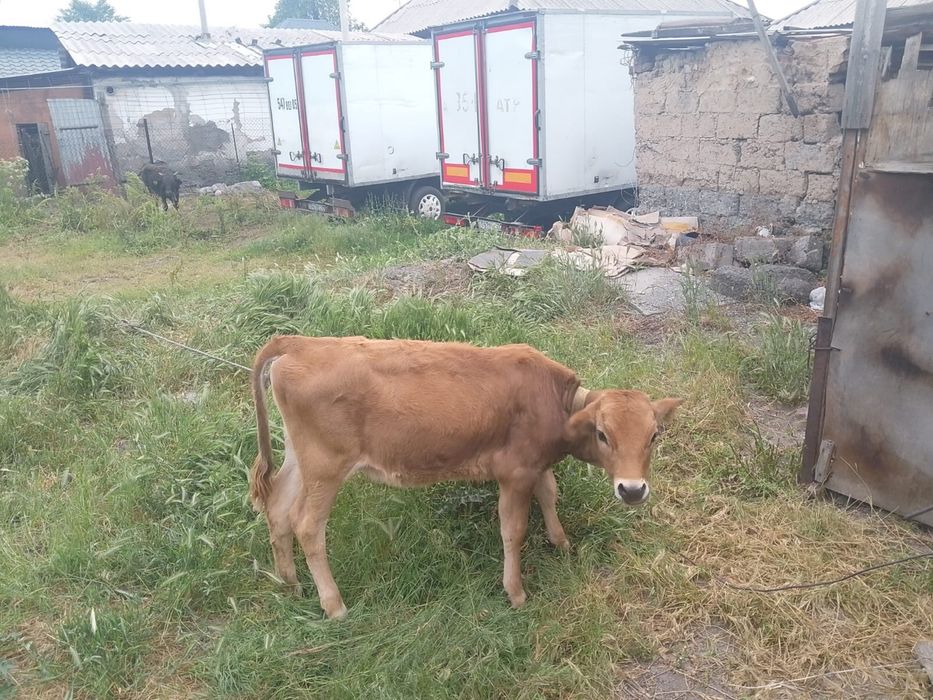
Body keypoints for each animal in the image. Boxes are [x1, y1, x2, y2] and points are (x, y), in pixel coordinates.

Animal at [249, 335, 682, 619]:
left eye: (654, 435)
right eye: (603, 434)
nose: (632, 490)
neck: (553, 401)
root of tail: (299, 342)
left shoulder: (536, 464)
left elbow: (550, 492)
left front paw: (561, 542)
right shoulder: (514, 472)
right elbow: (513, 530)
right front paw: (516, 592)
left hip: (301, 458)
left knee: (279, 508)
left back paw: (290, 583)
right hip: (326, 466)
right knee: (307, 526)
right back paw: (334, 605)